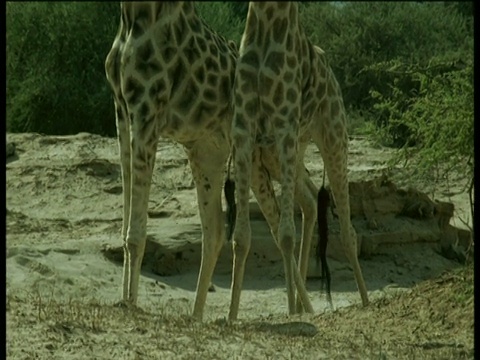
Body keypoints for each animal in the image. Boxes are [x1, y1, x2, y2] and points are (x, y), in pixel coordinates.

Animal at [231, 1, 370, 320]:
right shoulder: (243, 129)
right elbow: (241, 237)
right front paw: (230, 317)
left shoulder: (283, 124)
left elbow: (285, 234)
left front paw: (291, 314)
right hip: (288, 151)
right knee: (309, 202)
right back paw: (302, 307)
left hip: (333, 138)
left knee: (348, 232)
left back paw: (365, 302)